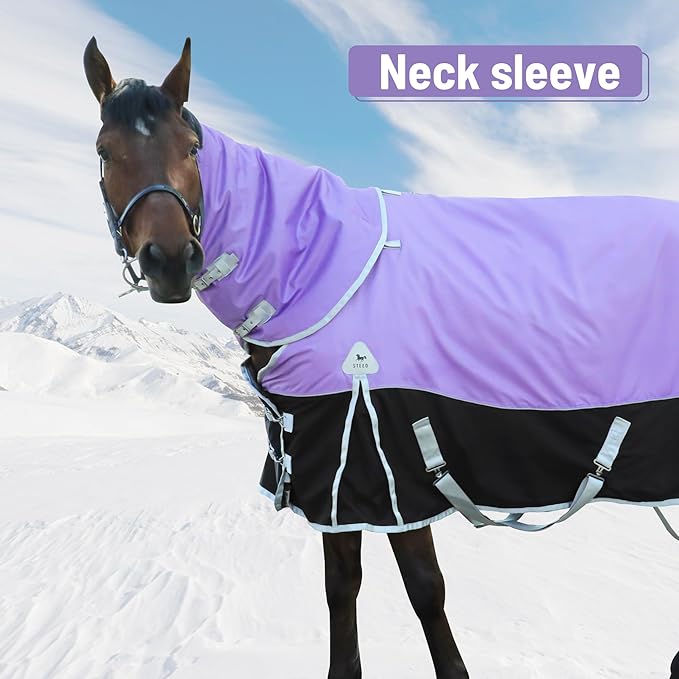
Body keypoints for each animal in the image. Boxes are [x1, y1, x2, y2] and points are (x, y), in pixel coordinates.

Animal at [84, 37, 679, 678]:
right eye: (105, 151)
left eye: (191, 150)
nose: (170, 260)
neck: (312, 268)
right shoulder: (330, 479)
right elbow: (341, 586)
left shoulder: (382, 466)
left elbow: (424, 590)